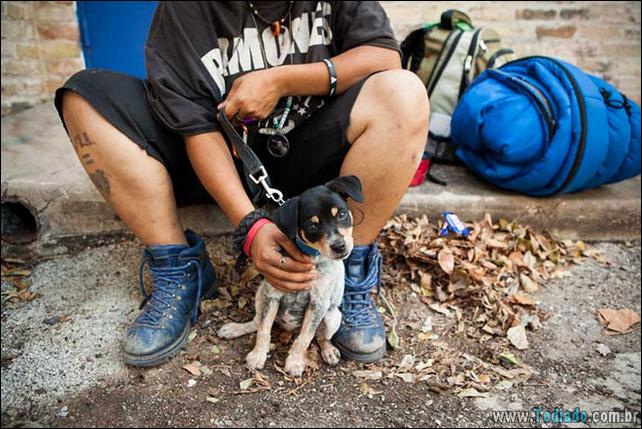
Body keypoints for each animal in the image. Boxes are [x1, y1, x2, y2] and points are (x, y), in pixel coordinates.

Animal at [218, 174, 362, 374]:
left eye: (341, 214)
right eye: (312, 226)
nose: (339, 246)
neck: (312, 258)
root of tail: (288, 330)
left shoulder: (318, 303)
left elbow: (305, 337)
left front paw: (294, 362)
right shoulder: (272, 295)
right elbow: (264, 330)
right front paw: (258, 356)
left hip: (332, 316)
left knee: (321, 337)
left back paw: (329, 351)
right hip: (261, 294)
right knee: (257, 322)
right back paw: (234, 329)